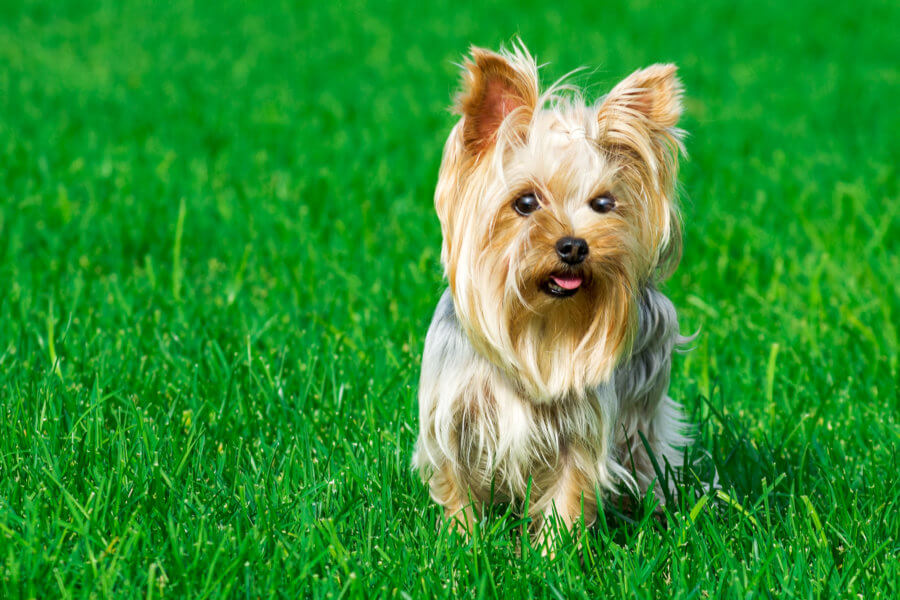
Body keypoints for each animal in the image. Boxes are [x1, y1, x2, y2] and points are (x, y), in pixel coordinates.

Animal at [414, 42, 688, 544]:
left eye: (603, 204)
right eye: (525, 202)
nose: (574, 245)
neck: (541, 320)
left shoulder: (581, 430)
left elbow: (568, 493)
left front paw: (552, 555)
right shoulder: (453, 419)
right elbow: (457, 486)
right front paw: (462, 544)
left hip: (646, 401)